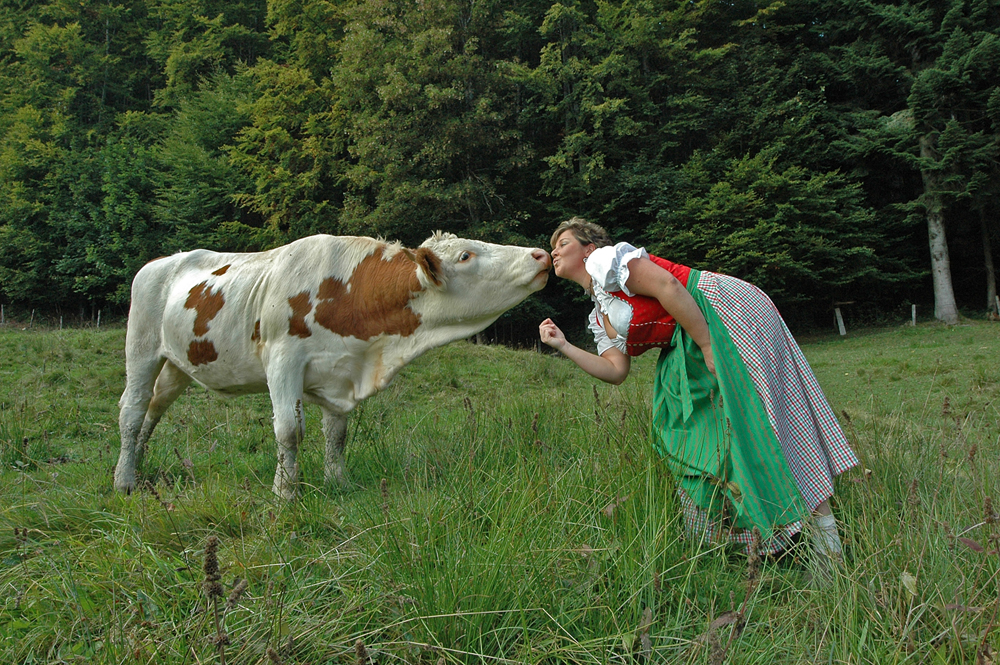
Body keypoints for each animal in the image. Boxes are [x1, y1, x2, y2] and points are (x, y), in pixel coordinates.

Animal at [122, 231, 556, 496]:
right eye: (466, 255)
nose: (540, 254)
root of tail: (162, 261)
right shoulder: (282, 359)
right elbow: (288, 431)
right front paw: (285, 492)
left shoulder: (341, 372)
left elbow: (337, 434)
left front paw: (338, 483)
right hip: (141, 348)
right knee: (131, 410)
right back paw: (124, 481)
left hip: (177, 365)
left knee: (153, 409)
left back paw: (138, 467)